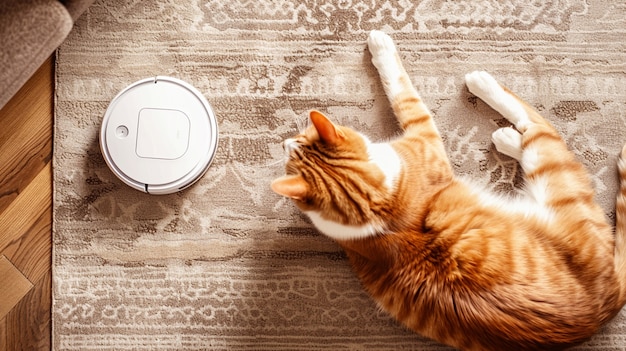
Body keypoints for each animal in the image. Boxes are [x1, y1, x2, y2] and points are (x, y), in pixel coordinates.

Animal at [270, 31, 624, 351]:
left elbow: (400, 89)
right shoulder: (423, 132)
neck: (377, 206)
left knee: (534, 125)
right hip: (550, 169)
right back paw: (496, 114)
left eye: (299, 139)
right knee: (537, 128)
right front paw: (382, 46)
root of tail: (607, 303)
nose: (283, 142)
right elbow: (402, 90)